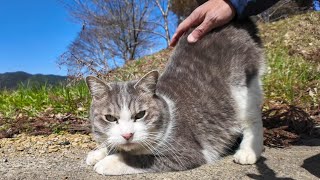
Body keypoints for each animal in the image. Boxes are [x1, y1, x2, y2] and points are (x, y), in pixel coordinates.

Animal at [85, 19, 264, 175]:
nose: (127, 135)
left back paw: (248, 151)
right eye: (110, 118)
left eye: (140, 114)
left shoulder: (185, 153)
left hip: (243, 88)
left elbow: (140, 159)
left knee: (252, 119)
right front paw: (99, 152)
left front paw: (108, 161)